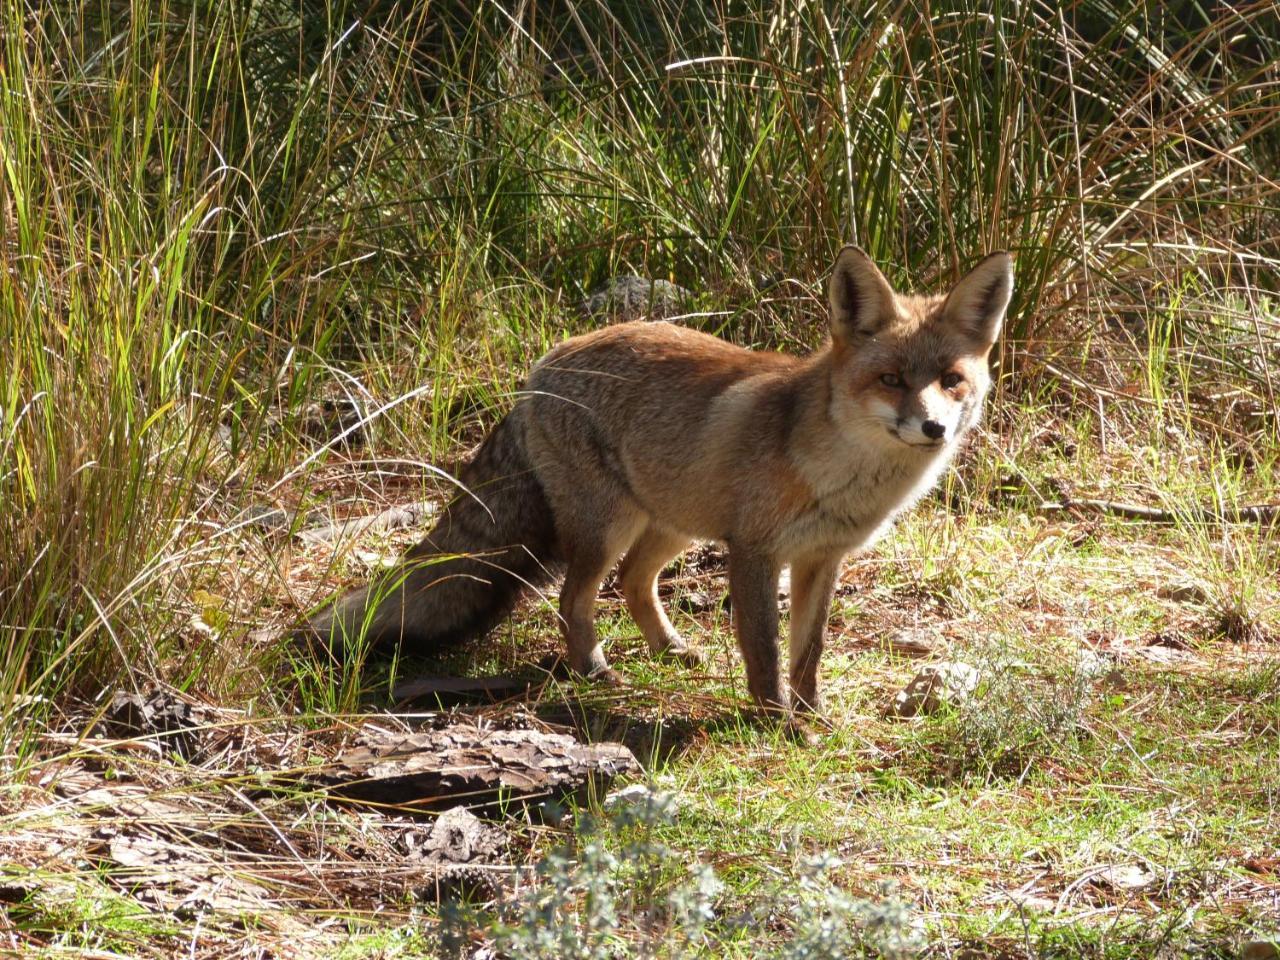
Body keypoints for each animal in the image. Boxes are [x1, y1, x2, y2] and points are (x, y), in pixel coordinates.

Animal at [304, 245, 1013, 721]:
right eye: (891, 379)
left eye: (951, 380)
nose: (932, 427)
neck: (840, 476)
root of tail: (543, 366)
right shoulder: (754, 551)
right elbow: (764, 651)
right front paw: (776, 722)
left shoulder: (821, 558)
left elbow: (806, 652)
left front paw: (812, 716)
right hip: (607, 527)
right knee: (576, 599)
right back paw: (594, 671)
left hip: (672, 524)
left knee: (632, 584)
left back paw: (670, 648)